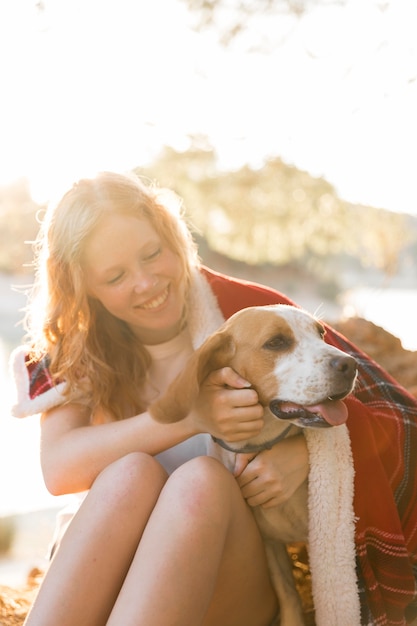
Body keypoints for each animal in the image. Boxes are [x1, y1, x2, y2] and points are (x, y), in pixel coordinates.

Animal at [150, 304, 358, 624]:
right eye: (276, 342)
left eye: (321, 333)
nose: (350, 364)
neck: (259, 446)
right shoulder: (270, 545)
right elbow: (288, 594)